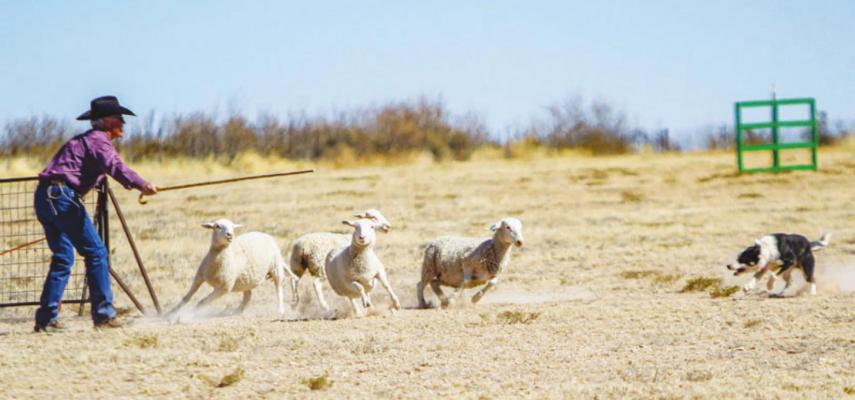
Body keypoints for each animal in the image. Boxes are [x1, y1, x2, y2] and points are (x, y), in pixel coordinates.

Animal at [167, 219, 299, 318]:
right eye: (217, 226)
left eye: (232, 227)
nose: (230, 235)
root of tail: (264, 234)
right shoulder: (199, 277)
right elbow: (186, 297)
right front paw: (172, 312)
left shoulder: (224, 287)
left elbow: (203, 301)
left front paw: (192, 313)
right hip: (247, 280)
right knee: (248, 295)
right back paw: (238, 311)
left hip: (275, 267)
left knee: (279, 289)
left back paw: (280, 309)